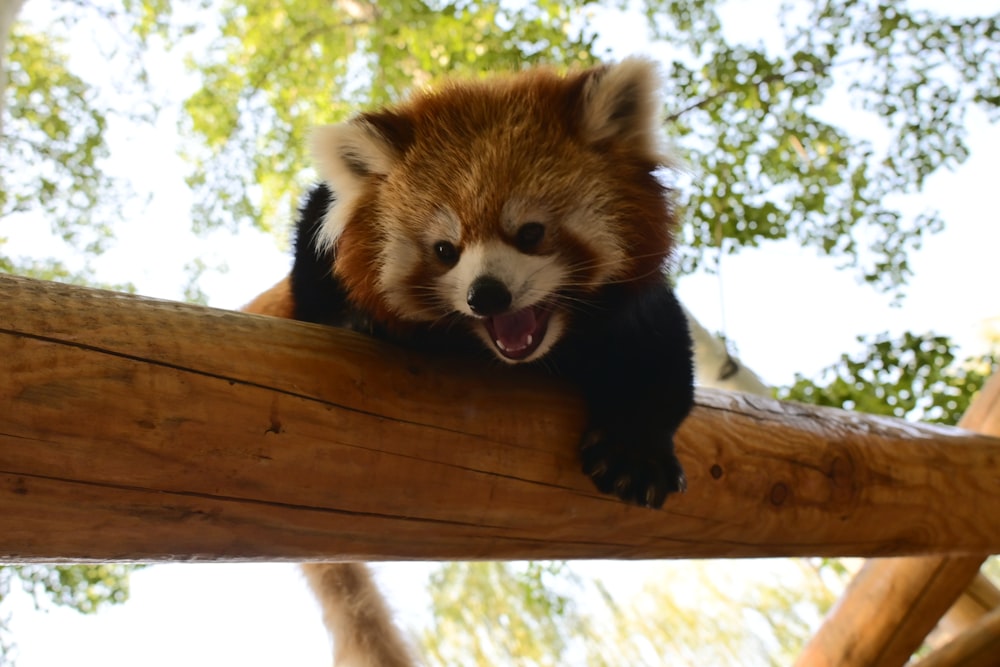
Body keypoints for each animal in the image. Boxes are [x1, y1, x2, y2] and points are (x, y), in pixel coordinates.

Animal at [246, 58, 692, 667]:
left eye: (530, 233)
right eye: (444, 250)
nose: (487, 295)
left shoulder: (633, 314)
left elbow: (661, 359)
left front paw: (635, 452)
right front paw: (355, 320)